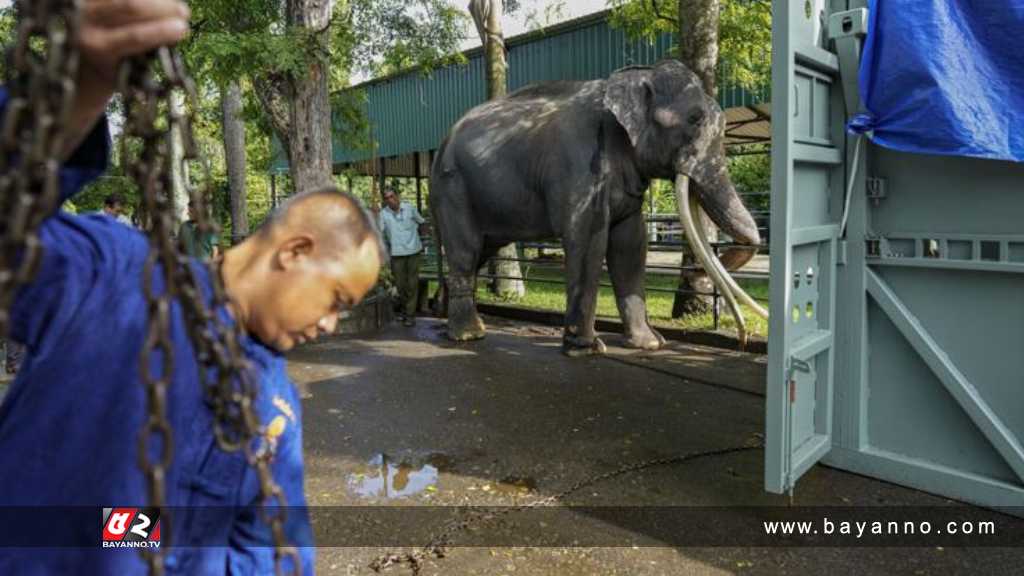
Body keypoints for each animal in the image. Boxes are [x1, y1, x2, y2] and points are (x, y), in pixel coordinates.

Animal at [428, 58, 765, 354]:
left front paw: (650, 344)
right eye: (695, 119)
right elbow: (589, 241)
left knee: (479, 253)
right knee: (467, 251)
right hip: (453, 187)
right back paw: (468, 335)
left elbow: (631, 244)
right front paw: (586, 349)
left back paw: (444, 315)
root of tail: (441, 143)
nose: (744, 339)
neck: (633, 77)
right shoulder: (579, 165)